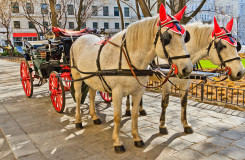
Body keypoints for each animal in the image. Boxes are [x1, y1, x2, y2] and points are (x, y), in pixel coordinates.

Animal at [71, 4, 193, 153]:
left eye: (185, 37)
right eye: (166, 38)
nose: (187, 69)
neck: (128, 58)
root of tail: (80, 37)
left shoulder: (138, 91)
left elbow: (135, 114)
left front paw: (136, 137)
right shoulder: (117, 92)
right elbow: (117, 116)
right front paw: (117, 142)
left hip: (92, 78)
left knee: (92, 96)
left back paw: (94, 117)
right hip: (76, 75)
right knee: (78, 97)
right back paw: (78, 121)